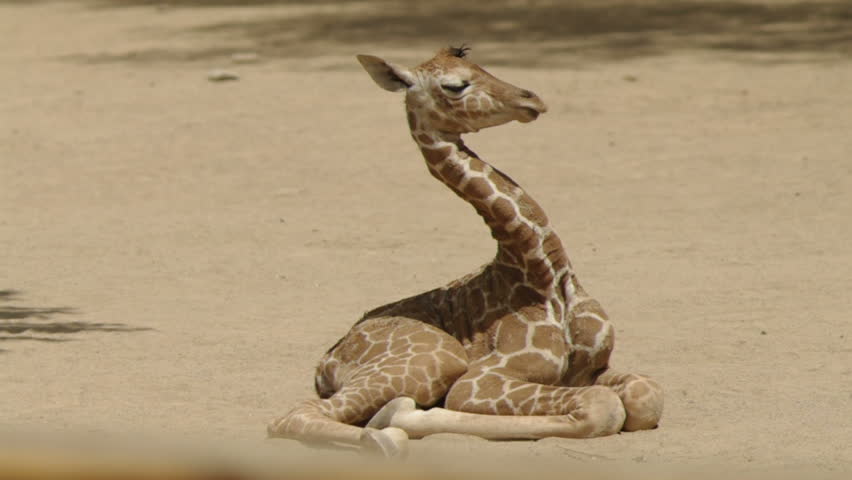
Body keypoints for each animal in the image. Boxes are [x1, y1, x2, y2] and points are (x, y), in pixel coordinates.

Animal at [270, 47, 664, 456]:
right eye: (456, 85)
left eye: (482, 67)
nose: (531, 99)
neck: (541, 270)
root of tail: (328, 359)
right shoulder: (480, 380)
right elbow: (603, 406)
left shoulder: (592, 368)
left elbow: (646, 395)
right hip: (436, 358)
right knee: (291, 417)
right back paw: (385, 435)